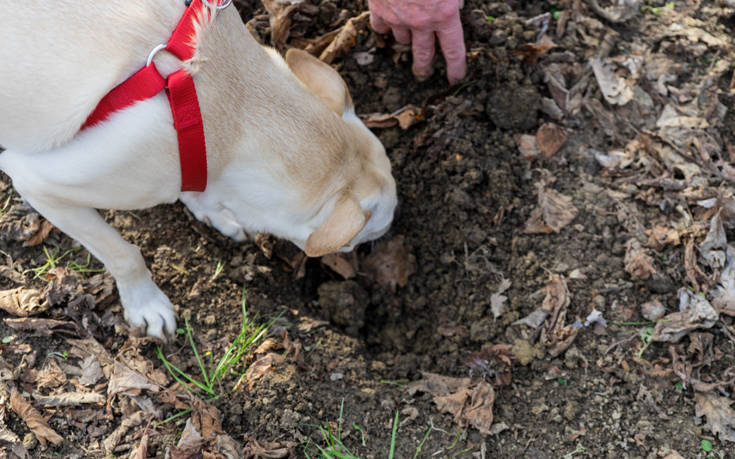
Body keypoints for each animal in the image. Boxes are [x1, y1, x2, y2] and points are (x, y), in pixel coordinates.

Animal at [0, 0, 396, 342]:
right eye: (360, 241)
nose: (362, 266)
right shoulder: (37, 183)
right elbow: (124, 254)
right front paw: (145, 303)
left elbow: (197, 190)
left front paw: (214, 212)